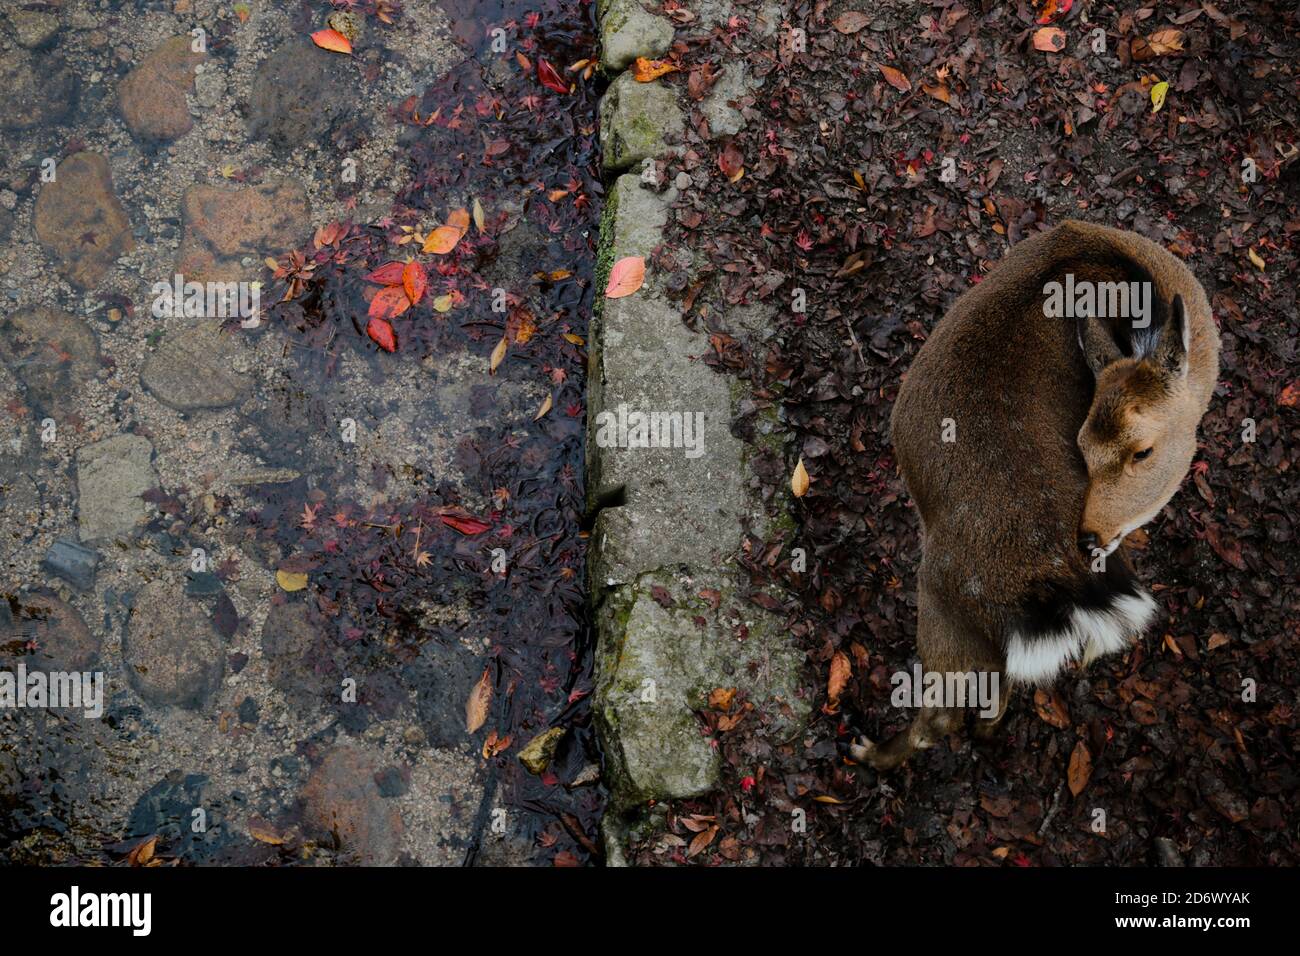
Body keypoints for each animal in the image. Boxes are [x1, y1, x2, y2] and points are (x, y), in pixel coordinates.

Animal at [852, 221, 1216, 775]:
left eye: (1143, 450)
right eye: (1081, 446)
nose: (1091, 537)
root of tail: (1055, 581)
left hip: (944, 601)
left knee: (960, 704)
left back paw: (871, 749)